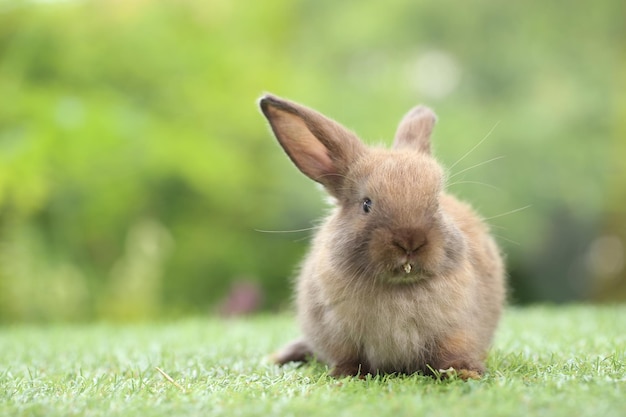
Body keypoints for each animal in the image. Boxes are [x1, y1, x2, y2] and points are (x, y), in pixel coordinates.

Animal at [256, 94, 504, 380]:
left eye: (437, 203)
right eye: (366, 204)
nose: (411, 241)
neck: (399, 287)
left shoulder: (458, 330)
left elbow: (452, 352)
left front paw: (464, 373)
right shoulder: (340, 336)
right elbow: (349, 358)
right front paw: (345, 376)